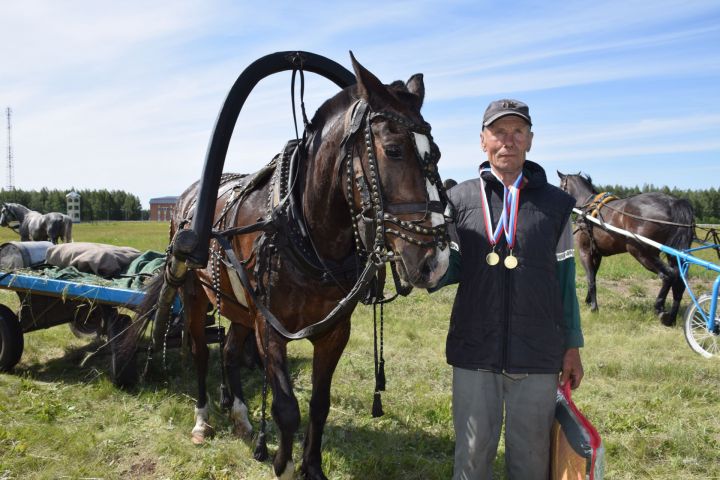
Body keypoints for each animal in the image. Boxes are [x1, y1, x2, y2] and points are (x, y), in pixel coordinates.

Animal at [136, 54, 450, 478]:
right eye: (393, 150)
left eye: (436, 153)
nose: (436, 261)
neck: (305, 232)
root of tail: (187, 197)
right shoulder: (269, 328)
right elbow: (286, 408)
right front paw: (282, 463)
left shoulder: (334, 332)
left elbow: (319, 404)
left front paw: (311, 466)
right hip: (194, 293)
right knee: (202, 353)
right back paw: (203, 419)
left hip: (240, 308)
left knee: (231, 351)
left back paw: (241, 416)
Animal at [556, 172, 696, 326]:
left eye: (560, 186)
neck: (587, 208)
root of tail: (672, 203)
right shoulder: (596, 254)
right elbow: (593, 276)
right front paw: (589, 301)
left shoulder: (584, 252)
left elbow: (591, 280)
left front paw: (594, 308)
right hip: (673, 254)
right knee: (679, 282)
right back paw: (671, 318)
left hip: (641, 252)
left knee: (668, 276)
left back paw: (659, 308)